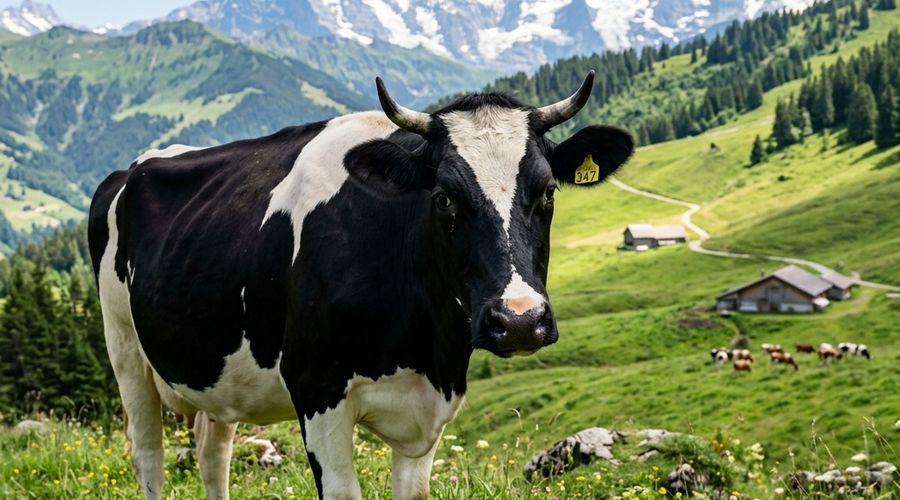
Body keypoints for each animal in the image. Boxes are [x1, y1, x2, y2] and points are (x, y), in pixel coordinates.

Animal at [87, 73, 634, 500]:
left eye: (548, 192)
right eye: (444, 197)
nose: (519, 320)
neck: (424, 346)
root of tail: (133, 168)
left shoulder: (426, 412)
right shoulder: (317, 392)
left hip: (216, 371)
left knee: (211, 452)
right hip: (124, 348)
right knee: (148, 456)